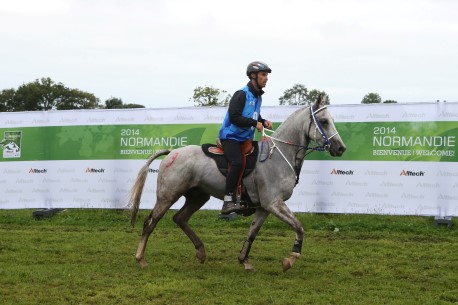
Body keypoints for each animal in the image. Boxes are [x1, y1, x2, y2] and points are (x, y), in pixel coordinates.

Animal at [127, 95, 346, 270]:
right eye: (324, 121)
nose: (341, 148)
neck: (278, 155)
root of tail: (172, 152)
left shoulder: (264, 207)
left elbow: (252, 233)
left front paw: (244, 260)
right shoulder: (273, 203)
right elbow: (299, 227)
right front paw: (290, 259)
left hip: (198, 196)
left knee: (180, 218)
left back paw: (201, 251)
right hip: (168, 196)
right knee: (150, 222)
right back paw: (140, 259)